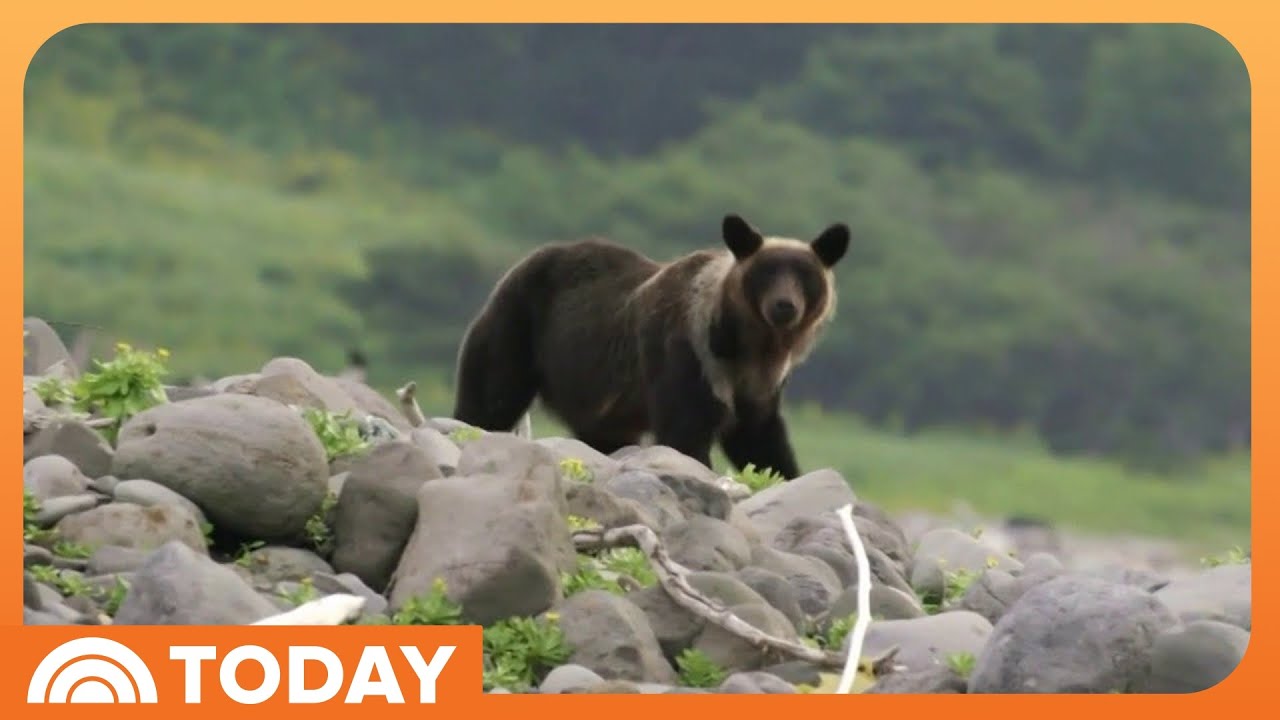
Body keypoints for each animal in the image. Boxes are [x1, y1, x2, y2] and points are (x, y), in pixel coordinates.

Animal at [450, 213, 849, 480]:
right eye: (766, 272)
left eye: (805, 275)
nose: (784, 306)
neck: (745, 343)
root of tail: (522, 261)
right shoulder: (689, 354)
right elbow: (685, 431)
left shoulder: (760, 385)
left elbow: (760, 441)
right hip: (519, 327)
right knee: (491, 394)